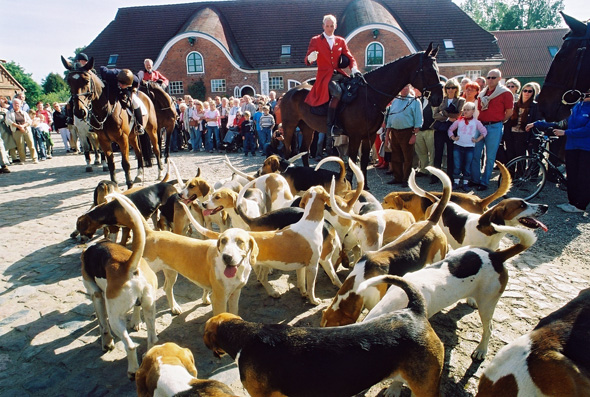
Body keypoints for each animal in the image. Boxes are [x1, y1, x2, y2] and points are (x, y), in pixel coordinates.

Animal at [61, 55, 164, 189]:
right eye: (69, 82)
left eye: (86, 81)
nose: (79, 112)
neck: (106, 110)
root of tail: (145, 95)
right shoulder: (102, 139)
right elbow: (111, 163)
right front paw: (113, 186)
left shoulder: (122, 139)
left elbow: (125, 163)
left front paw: (129, 186)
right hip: (132, 136)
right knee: (139, 153)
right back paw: (139, 175)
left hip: (152, 130)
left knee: (156, 150)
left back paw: (160, 173)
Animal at [82, 193, 160, 378]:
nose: (79, 238)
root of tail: (129, 266)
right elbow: (136, 311)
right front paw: (135, 322)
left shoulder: (96, 295)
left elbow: (102, 324)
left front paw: (106, 343)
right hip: (149, 306)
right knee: (152, 338)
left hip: (115, 318)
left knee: (129, 346)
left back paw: (132, 370)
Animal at [282, 42, 444, 188]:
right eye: (429, 70)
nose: (439, 98)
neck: (369, 95)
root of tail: (289, 92)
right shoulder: (355, 136)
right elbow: (353, 161)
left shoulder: (369, 135)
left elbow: (364, 161)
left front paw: (365, 186)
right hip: (289, 126)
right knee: (287, 151)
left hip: (307, 128)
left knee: (304, 152)